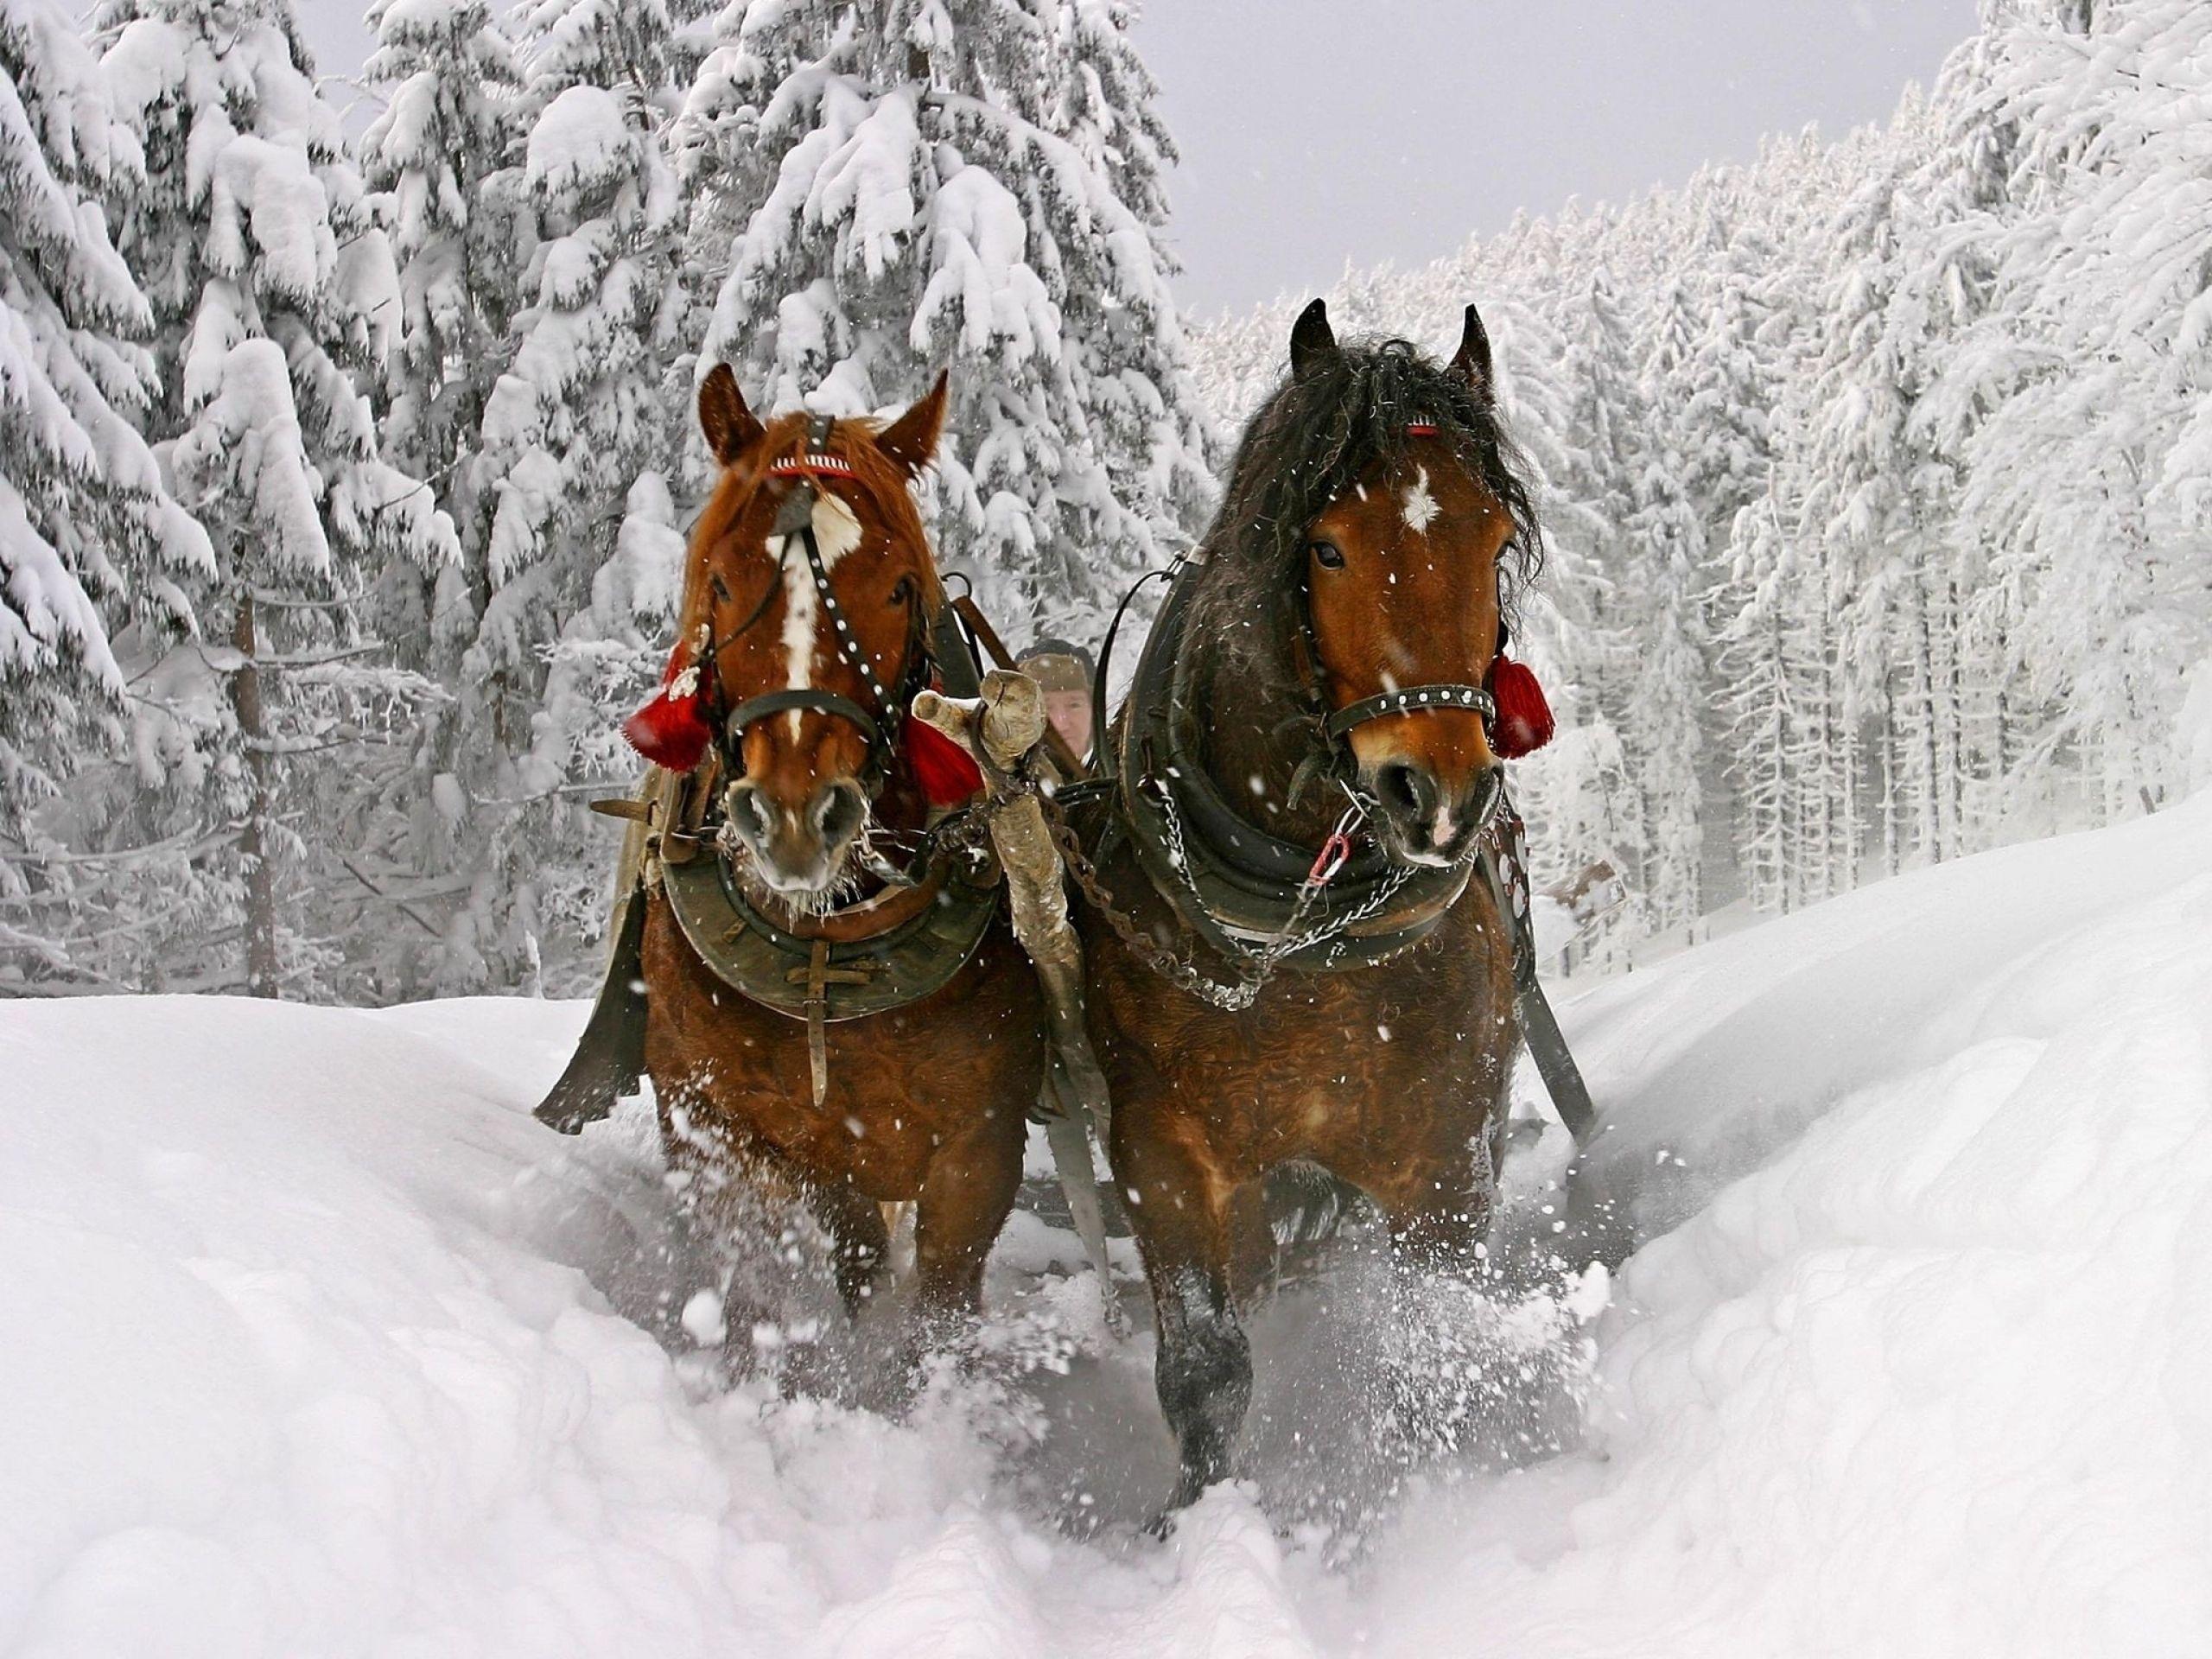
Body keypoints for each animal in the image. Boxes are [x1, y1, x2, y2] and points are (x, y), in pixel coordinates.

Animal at [541, 366, 1046, 1372]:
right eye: (723, 579)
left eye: (898, 588)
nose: (797, 818)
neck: (831, 947)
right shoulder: (727, 1128)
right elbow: (766, 1286)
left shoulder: (979, 1148)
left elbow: (937, 1313)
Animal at [1072, 299, 1544, 1512]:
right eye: (1325, 546)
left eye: (1494, 543)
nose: (1439, 794)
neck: (1301, 938)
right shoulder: (1162, 1156)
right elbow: (1205, 1371)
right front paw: (1194, 1523)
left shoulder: (1445, 1154)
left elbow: (1433, 1344)